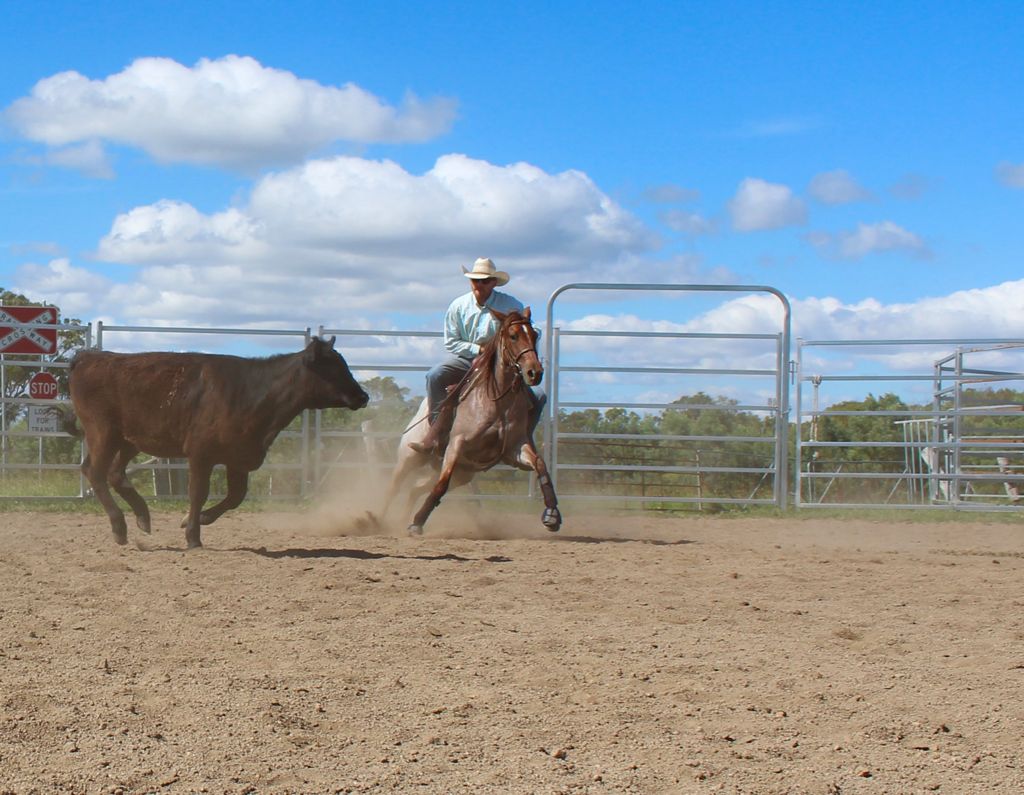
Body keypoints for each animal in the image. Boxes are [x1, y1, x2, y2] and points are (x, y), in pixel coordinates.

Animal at [68, 336, 369, 548]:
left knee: (115, 473)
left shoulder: (239, 458)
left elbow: (235, 496)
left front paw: (197, 519)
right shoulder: (201, 455)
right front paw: (193, 535)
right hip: (103, 433)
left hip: (130, 440)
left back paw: (142, 517)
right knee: (94, 472)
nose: (363, 396)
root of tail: (89, 358)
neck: (252, 391)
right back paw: (119, 527)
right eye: (333, 367)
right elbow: (198, 492)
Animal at [384, 308, 562, 535]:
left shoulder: (515, 448)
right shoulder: (456, 445)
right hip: (409, 458)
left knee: (416, 488)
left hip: (462, 474)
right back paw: (376, 519)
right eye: (513, 336)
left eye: (534, 335)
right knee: (394, 487)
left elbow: (540, 465)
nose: (534, 372)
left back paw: (402, 519)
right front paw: (417, 522)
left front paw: (552, 514)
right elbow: (441, 486)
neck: (497, 402)